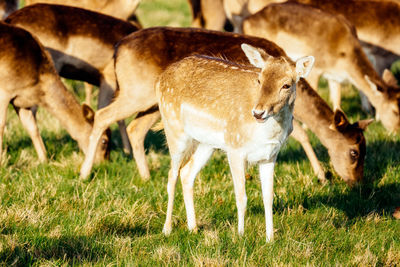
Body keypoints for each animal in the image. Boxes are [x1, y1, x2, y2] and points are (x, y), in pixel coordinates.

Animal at [0, 23, 109, 164]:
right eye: (104, 141)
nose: (104, 163)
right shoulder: (4, 91)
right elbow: (1, 125)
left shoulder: (22, 102)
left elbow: (32, 126)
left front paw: (43, 160)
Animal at [79, 27, 372, 186]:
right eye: (354, 151)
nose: (357, 182)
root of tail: (118, 49)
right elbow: (300, 132)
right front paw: (322, 175)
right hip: (135, 91)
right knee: (103, 115)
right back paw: (84, 174)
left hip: (154, 102)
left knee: (136, 128)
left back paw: (146, 176)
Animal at [156, 44, 316, 243]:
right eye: (259, 79)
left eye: (286, 85)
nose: (258, 113)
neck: (266, 133)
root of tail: (160, 79)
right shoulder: (235, 147)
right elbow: (241, 197)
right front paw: (240, 235)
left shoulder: (270, 155)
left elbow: (268, 197)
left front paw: (270, 239)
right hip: (174, 129)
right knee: (172, 175)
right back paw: (167, 229)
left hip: (206, 143)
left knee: (186, 173)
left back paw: (193, 228)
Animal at [241, 1, 400, 132]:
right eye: (395, 111)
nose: (396, 131)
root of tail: (247, 21)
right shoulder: (316, 70)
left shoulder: (334, 76)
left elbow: (337, 100)